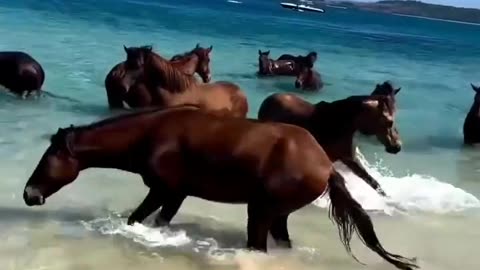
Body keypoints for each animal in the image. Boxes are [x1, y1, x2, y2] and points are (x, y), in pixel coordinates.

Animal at [23, 104, 416, 270]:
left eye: (49, 157)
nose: (29, 194)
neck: (151, 134)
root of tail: (324, 164)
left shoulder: (163, 189)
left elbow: (136, 219)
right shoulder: (176, 194)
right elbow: (159, 221)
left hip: (261, 211)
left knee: (259, 245)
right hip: (278, 215)